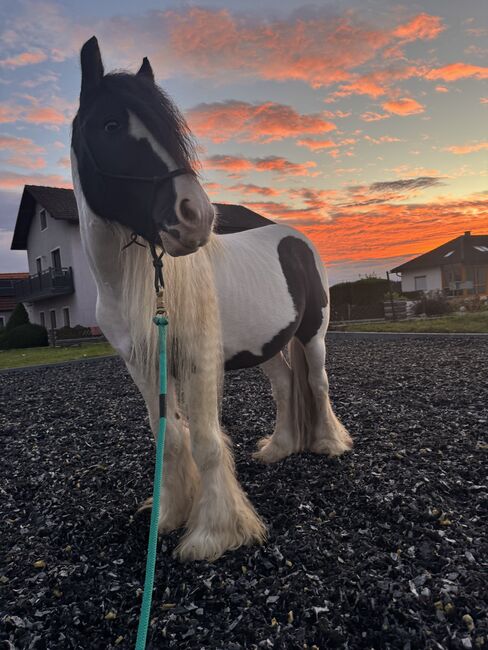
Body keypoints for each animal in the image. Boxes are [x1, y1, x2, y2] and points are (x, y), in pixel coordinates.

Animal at [71, 37, 352, 561]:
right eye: (111, 124)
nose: (195, 216)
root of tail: (298, 239)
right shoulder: (143, 363)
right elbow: (169, 437)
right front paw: (169, 516)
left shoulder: (199, 358)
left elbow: (204, 441)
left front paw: (213, 534)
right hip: (266, 347)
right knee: (285, 385)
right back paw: (279, 448)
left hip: (313, 335)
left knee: (317, 383)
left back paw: (327, 444)